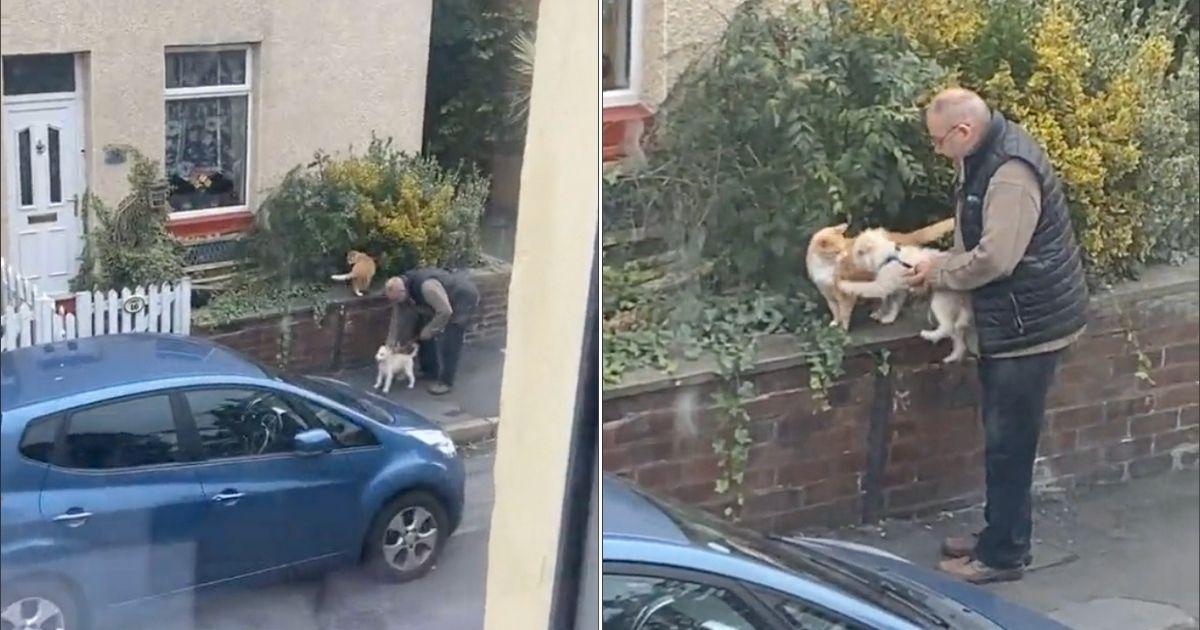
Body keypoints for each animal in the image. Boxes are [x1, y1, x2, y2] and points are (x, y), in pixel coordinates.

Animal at [835, 228, 974, 360]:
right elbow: (895, 304)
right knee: (957, 334)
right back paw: (953, 356)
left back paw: (930, 335)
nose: (850, 259)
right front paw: (889, 318)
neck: (888, 258)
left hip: (941, 300)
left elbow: (862, 286)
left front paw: (843, 284)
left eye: (857, 253)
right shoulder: (899, 288)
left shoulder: (881, 286)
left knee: (948, 327)